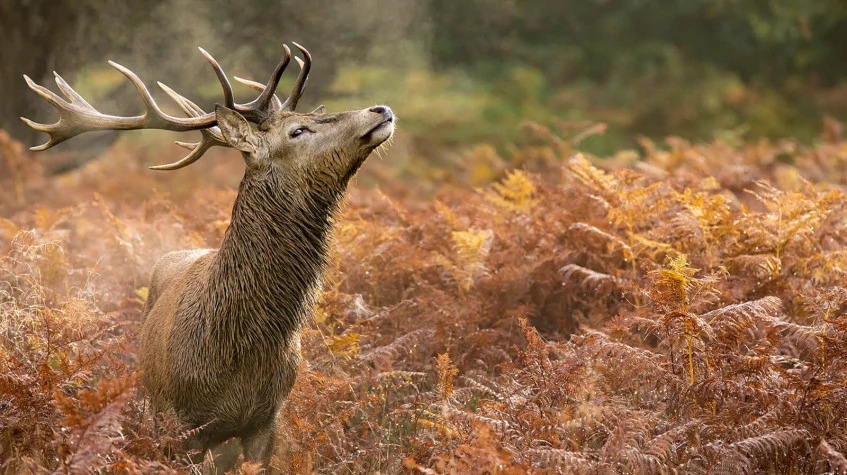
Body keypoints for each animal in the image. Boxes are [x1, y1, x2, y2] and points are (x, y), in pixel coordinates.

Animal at [21, 43, 394, 470]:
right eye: (298, 131)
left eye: (312, 117)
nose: (381, 109)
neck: (239, 353)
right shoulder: (181, 426)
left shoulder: (267, 421)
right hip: (152, 407)